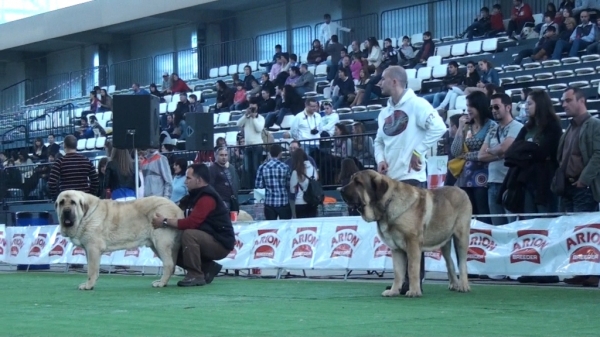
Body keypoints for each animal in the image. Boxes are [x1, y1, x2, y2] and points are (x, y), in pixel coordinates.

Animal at [340, 171, 472, 296]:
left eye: (358, 182)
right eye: (351, 180)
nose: (340, 190)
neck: (389, 202)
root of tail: (461, 190)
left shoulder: (412, 243)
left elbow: (412, 268)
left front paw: (414, 291)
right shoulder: (396, 248)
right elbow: (398, 272)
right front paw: (393, 291)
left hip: (461, 237)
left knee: (462, 263)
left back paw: (463, 286)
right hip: (444, 241)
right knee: (450, 262)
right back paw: (454, 284)